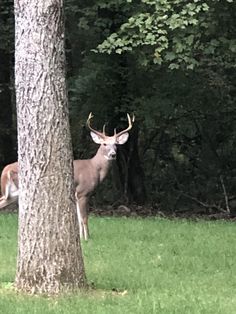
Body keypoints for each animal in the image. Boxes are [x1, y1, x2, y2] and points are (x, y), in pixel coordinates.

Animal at [0, 114, 135, 239]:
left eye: (116, 144)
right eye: (104, 144)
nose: (113, 154)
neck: (94, 168)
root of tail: (5, 170)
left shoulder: (76, 194)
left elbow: (78, 219)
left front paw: (81, 237)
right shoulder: (82, 192)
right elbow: (84, 218)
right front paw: (87, 238)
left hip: (12, 192)